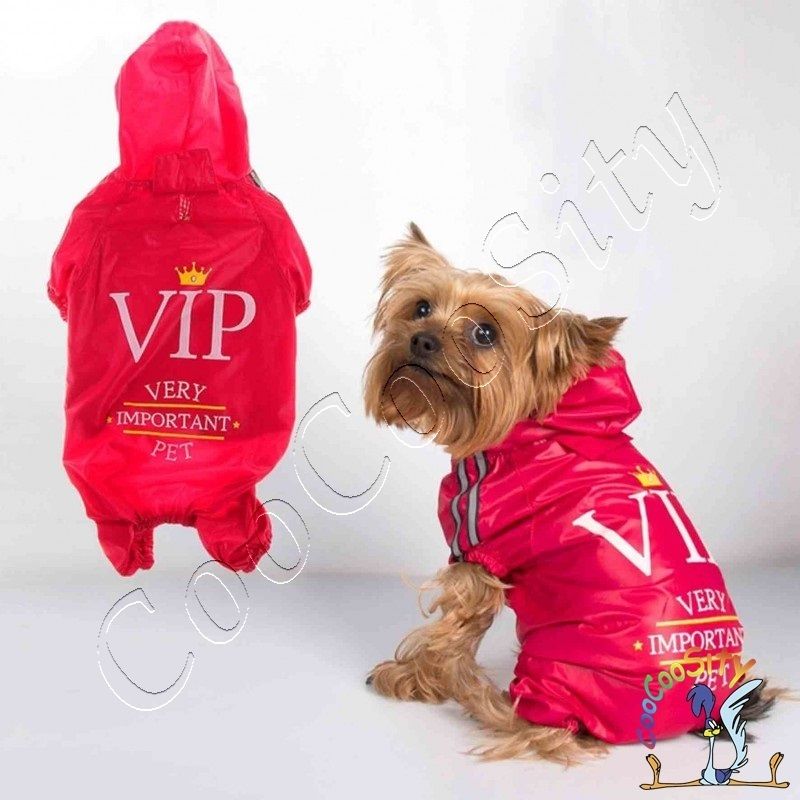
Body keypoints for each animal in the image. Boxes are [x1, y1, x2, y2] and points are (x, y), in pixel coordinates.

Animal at [363, 223, 782, 764]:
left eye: (485, 333)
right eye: (420, 308)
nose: (422, 339)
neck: (531, 426)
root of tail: (705, 707)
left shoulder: (477, 555)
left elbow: (450, 635)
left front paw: (413, 677)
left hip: (560, 671)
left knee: (544, 728)